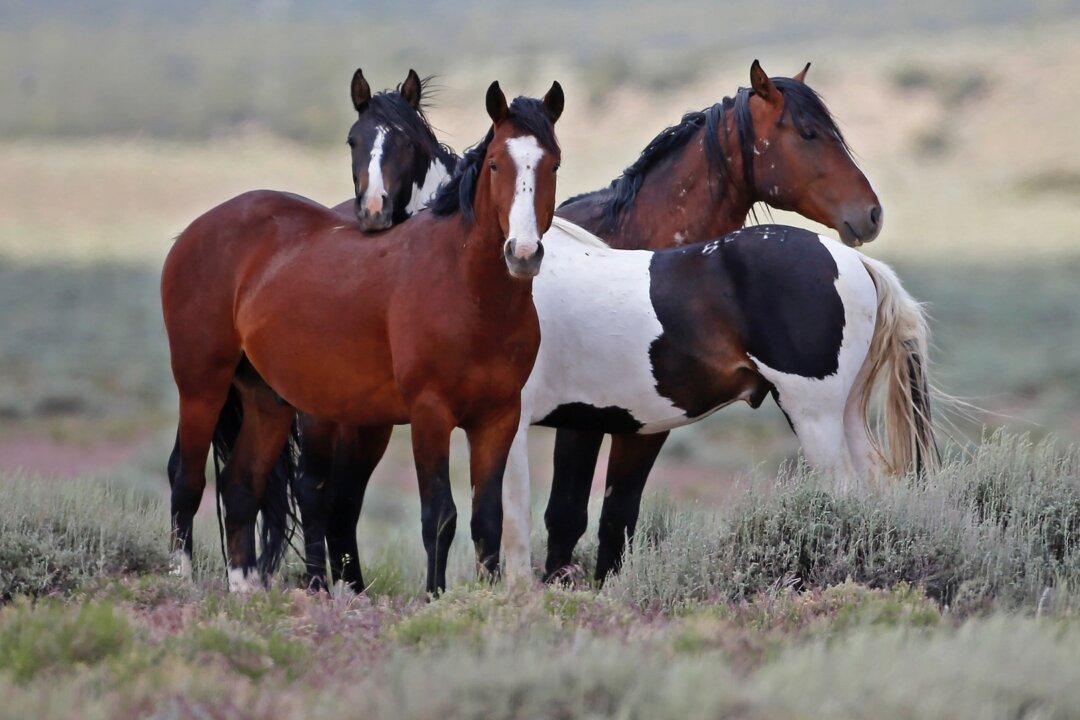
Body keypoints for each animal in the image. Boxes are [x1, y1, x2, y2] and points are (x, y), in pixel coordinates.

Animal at [161, 81, 564, 593]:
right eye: (496, 163)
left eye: (552, 163)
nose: (523, 253)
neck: (468, 289)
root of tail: (196, 231)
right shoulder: (430, 414)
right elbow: (439, 516)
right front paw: (436, 597)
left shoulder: (497, 418)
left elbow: (486, 519)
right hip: (202, 386)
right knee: (187, 479)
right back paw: (181, 581)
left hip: (267, 400)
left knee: (240, 486)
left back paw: (246, 591)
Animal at [291, 60, 889, 592]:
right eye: (808, 134)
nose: (871, 213)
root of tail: (858, 265)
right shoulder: (576, 423)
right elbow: (549, 521)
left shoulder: (590, 425)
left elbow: (566, 521)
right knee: (320, 493)